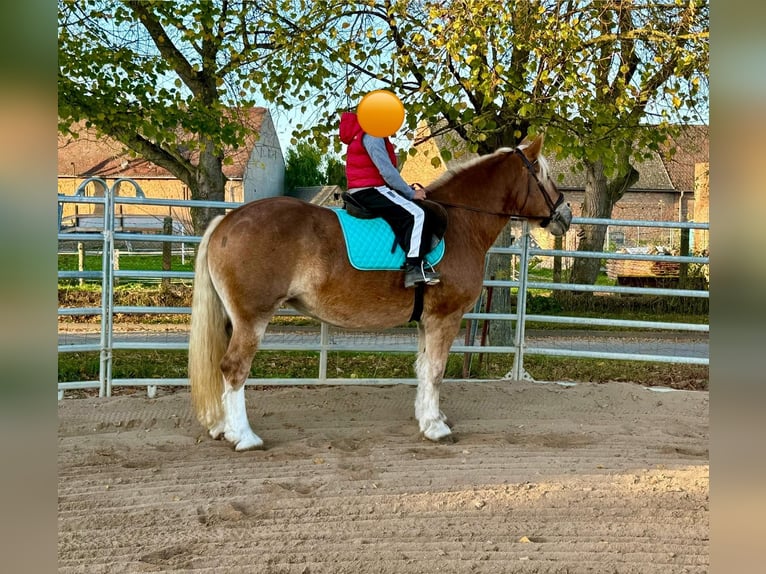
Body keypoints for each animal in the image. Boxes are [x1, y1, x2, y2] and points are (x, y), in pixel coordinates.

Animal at [189, 135, 572, 450]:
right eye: (544, 176)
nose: (565, 214)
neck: (460, 223)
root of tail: (227, 221)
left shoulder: (427, 321)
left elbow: (423, 368)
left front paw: (427, 418)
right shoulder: (445, 317)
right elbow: (436, 371)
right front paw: (436, 428)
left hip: (233, 319)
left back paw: (224, 428)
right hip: (253, 318)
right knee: (234, 368)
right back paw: (245, 437)